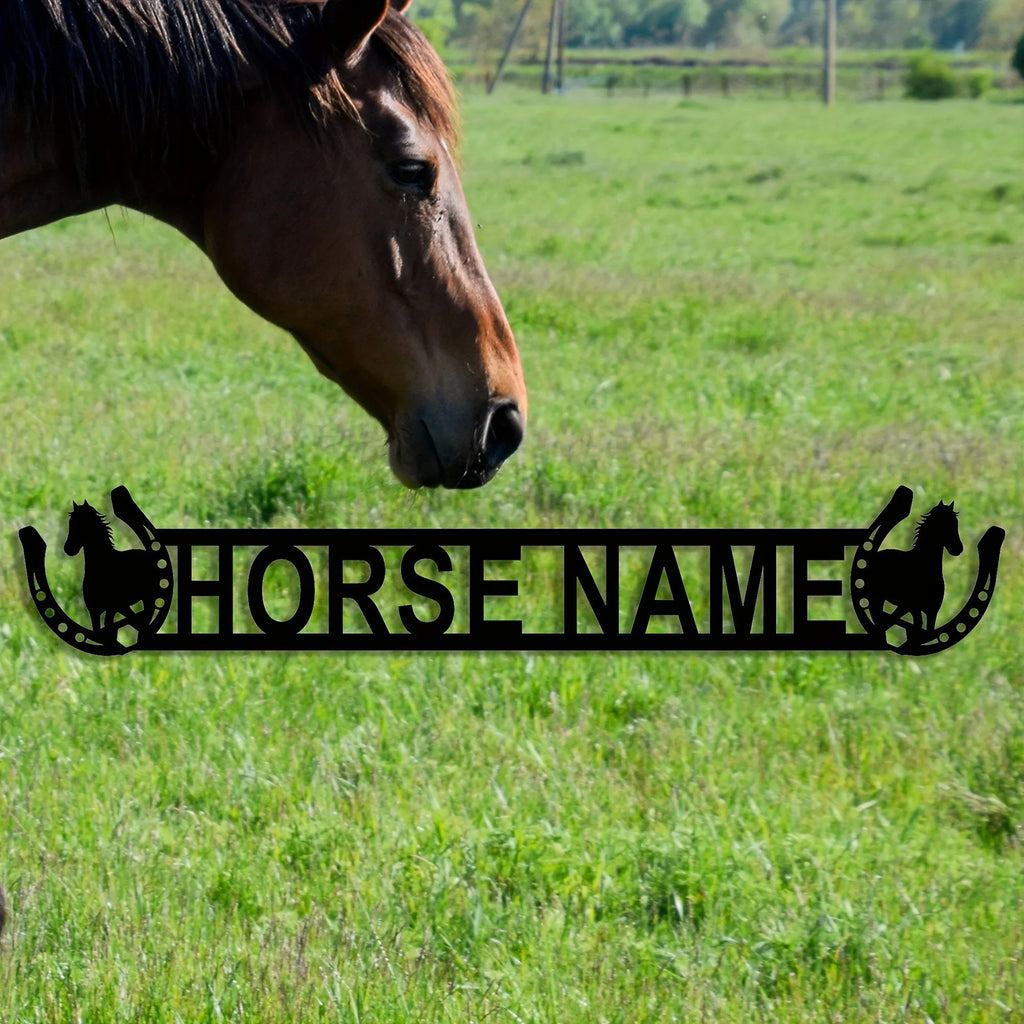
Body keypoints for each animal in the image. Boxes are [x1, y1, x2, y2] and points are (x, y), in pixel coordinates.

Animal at [63, 500, 163, 644]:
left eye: (80, 524)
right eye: (71, 523)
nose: (68, 548)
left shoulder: (112, 609)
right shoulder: (94, 611)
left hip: (146, 598)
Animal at [861, 500, 963, 641]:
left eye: (956, 523)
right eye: (944, 523)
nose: (958, 548)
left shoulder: (932, 612)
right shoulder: (912, 608)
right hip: (877, 598)